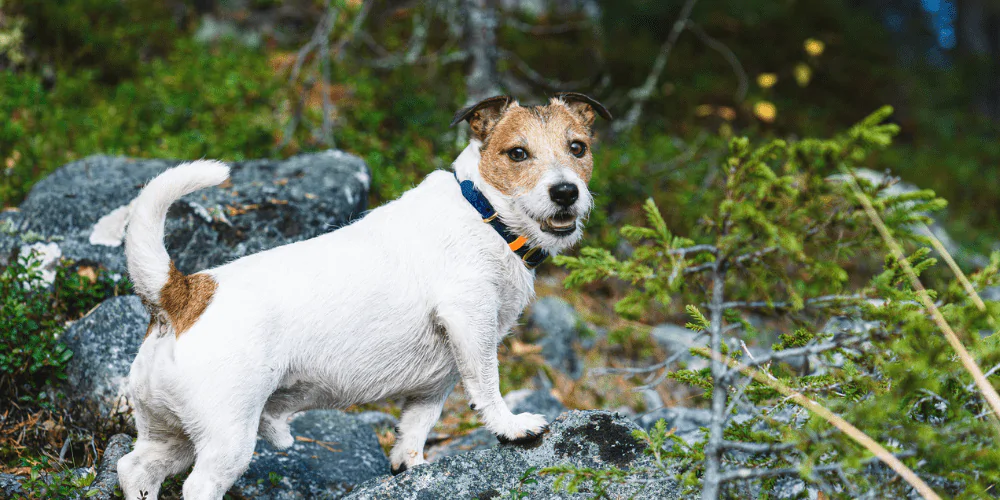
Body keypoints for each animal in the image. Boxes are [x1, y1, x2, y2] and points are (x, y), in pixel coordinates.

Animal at [115, 92, 608, 498]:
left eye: (578, 148)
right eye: (518, 153)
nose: (566, 192)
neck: (485, 213)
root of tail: (181, 293)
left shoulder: (437, 382)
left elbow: (416, 427)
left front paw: (411, 466)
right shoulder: (471, 323)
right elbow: (488, 388)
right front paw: (511, 427)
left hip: (169, 436)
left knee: (133, 468)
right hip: (227, 440)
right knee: (198, 485)